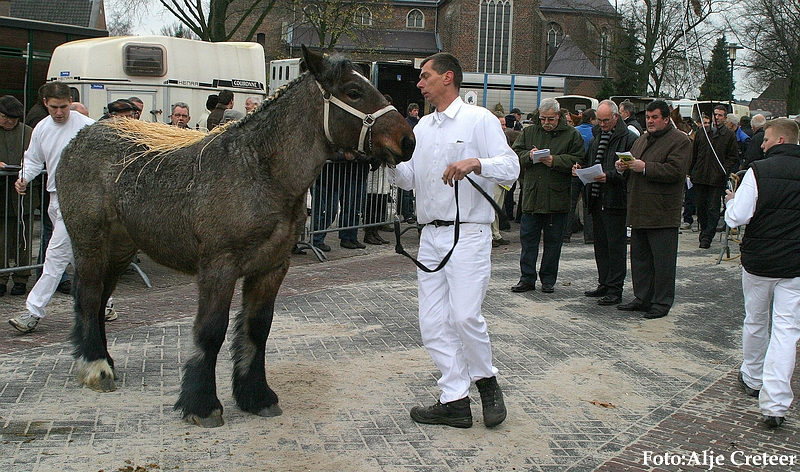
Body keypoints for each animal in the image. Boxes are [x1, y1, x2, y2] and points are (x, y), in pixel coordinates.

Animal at [55, 45, 416, 428]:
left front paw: (256, 396)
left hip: (121, 248)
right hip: (90, 242)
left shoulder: (272, 267)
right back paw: (95, 368)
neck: (259, 171)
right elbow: (211, 330)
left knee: (99, 297)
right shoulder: (219, 267)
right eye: (353, 92)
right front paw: (202, 404)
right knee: (89, 295)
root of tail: (80, 138)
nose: (407, 141)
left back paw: (102, 360)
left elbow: (257, 328)